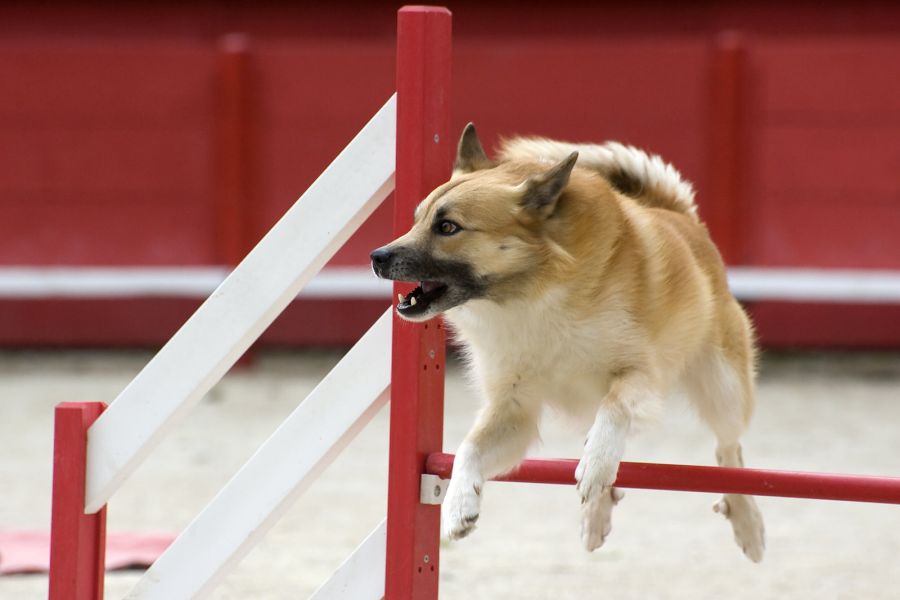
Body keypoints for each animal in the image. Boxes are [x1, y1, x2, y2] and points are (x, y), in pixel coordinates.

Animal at [372, 124, 768, 560]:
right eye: (418, 220)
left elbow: (615, 409)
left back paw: (746, 522)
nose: (377, 256)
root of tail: (681, 216)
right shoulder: (513, 410)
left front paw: (595, 465)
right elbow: (467, 449)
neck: (531, 294)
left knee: (729, 451)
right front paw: (460, 503)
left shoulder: (641, 374)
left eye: (447, 227)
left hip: (723, 389)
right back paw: (597, 513)